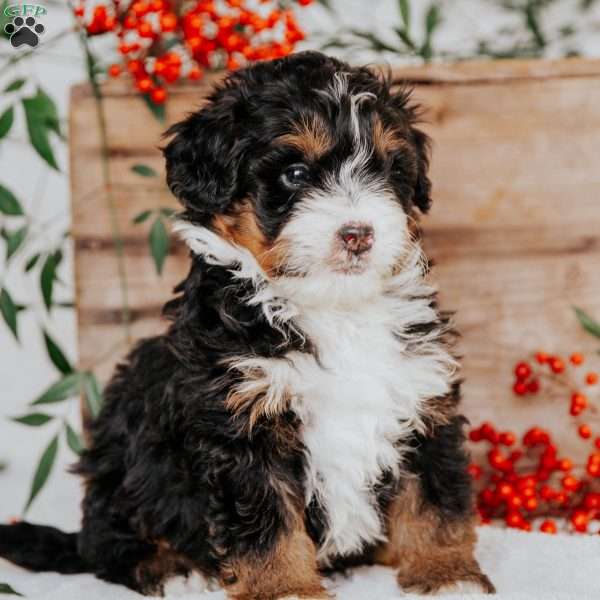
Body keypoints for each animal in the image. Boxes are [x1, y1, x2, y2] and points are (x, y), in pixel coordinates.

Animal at [2, 52, 494, 600]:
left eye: (391, 171)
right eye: (295, 174)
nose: (358, 234)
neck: (333, 308)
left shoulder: (421, 396)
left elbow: (434, 498)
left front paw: (446, 574)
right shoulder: (241, 425)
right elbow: (267, 524)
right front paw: (285, 587)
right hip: (120, 465)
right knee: (106, 546)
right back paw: (174, 570)